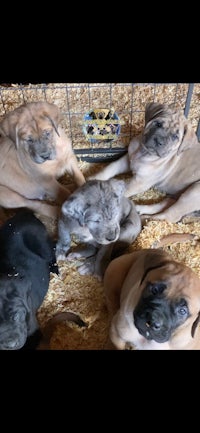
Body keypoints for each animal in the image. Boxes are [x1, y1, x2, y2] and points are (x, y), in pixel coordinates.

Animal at [0, 208, 58, 350]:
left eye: (16, 316)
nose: (10, 344)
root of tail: (25, 214)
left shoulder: (34, 331)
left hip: (43, 245)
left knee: (53, 251)